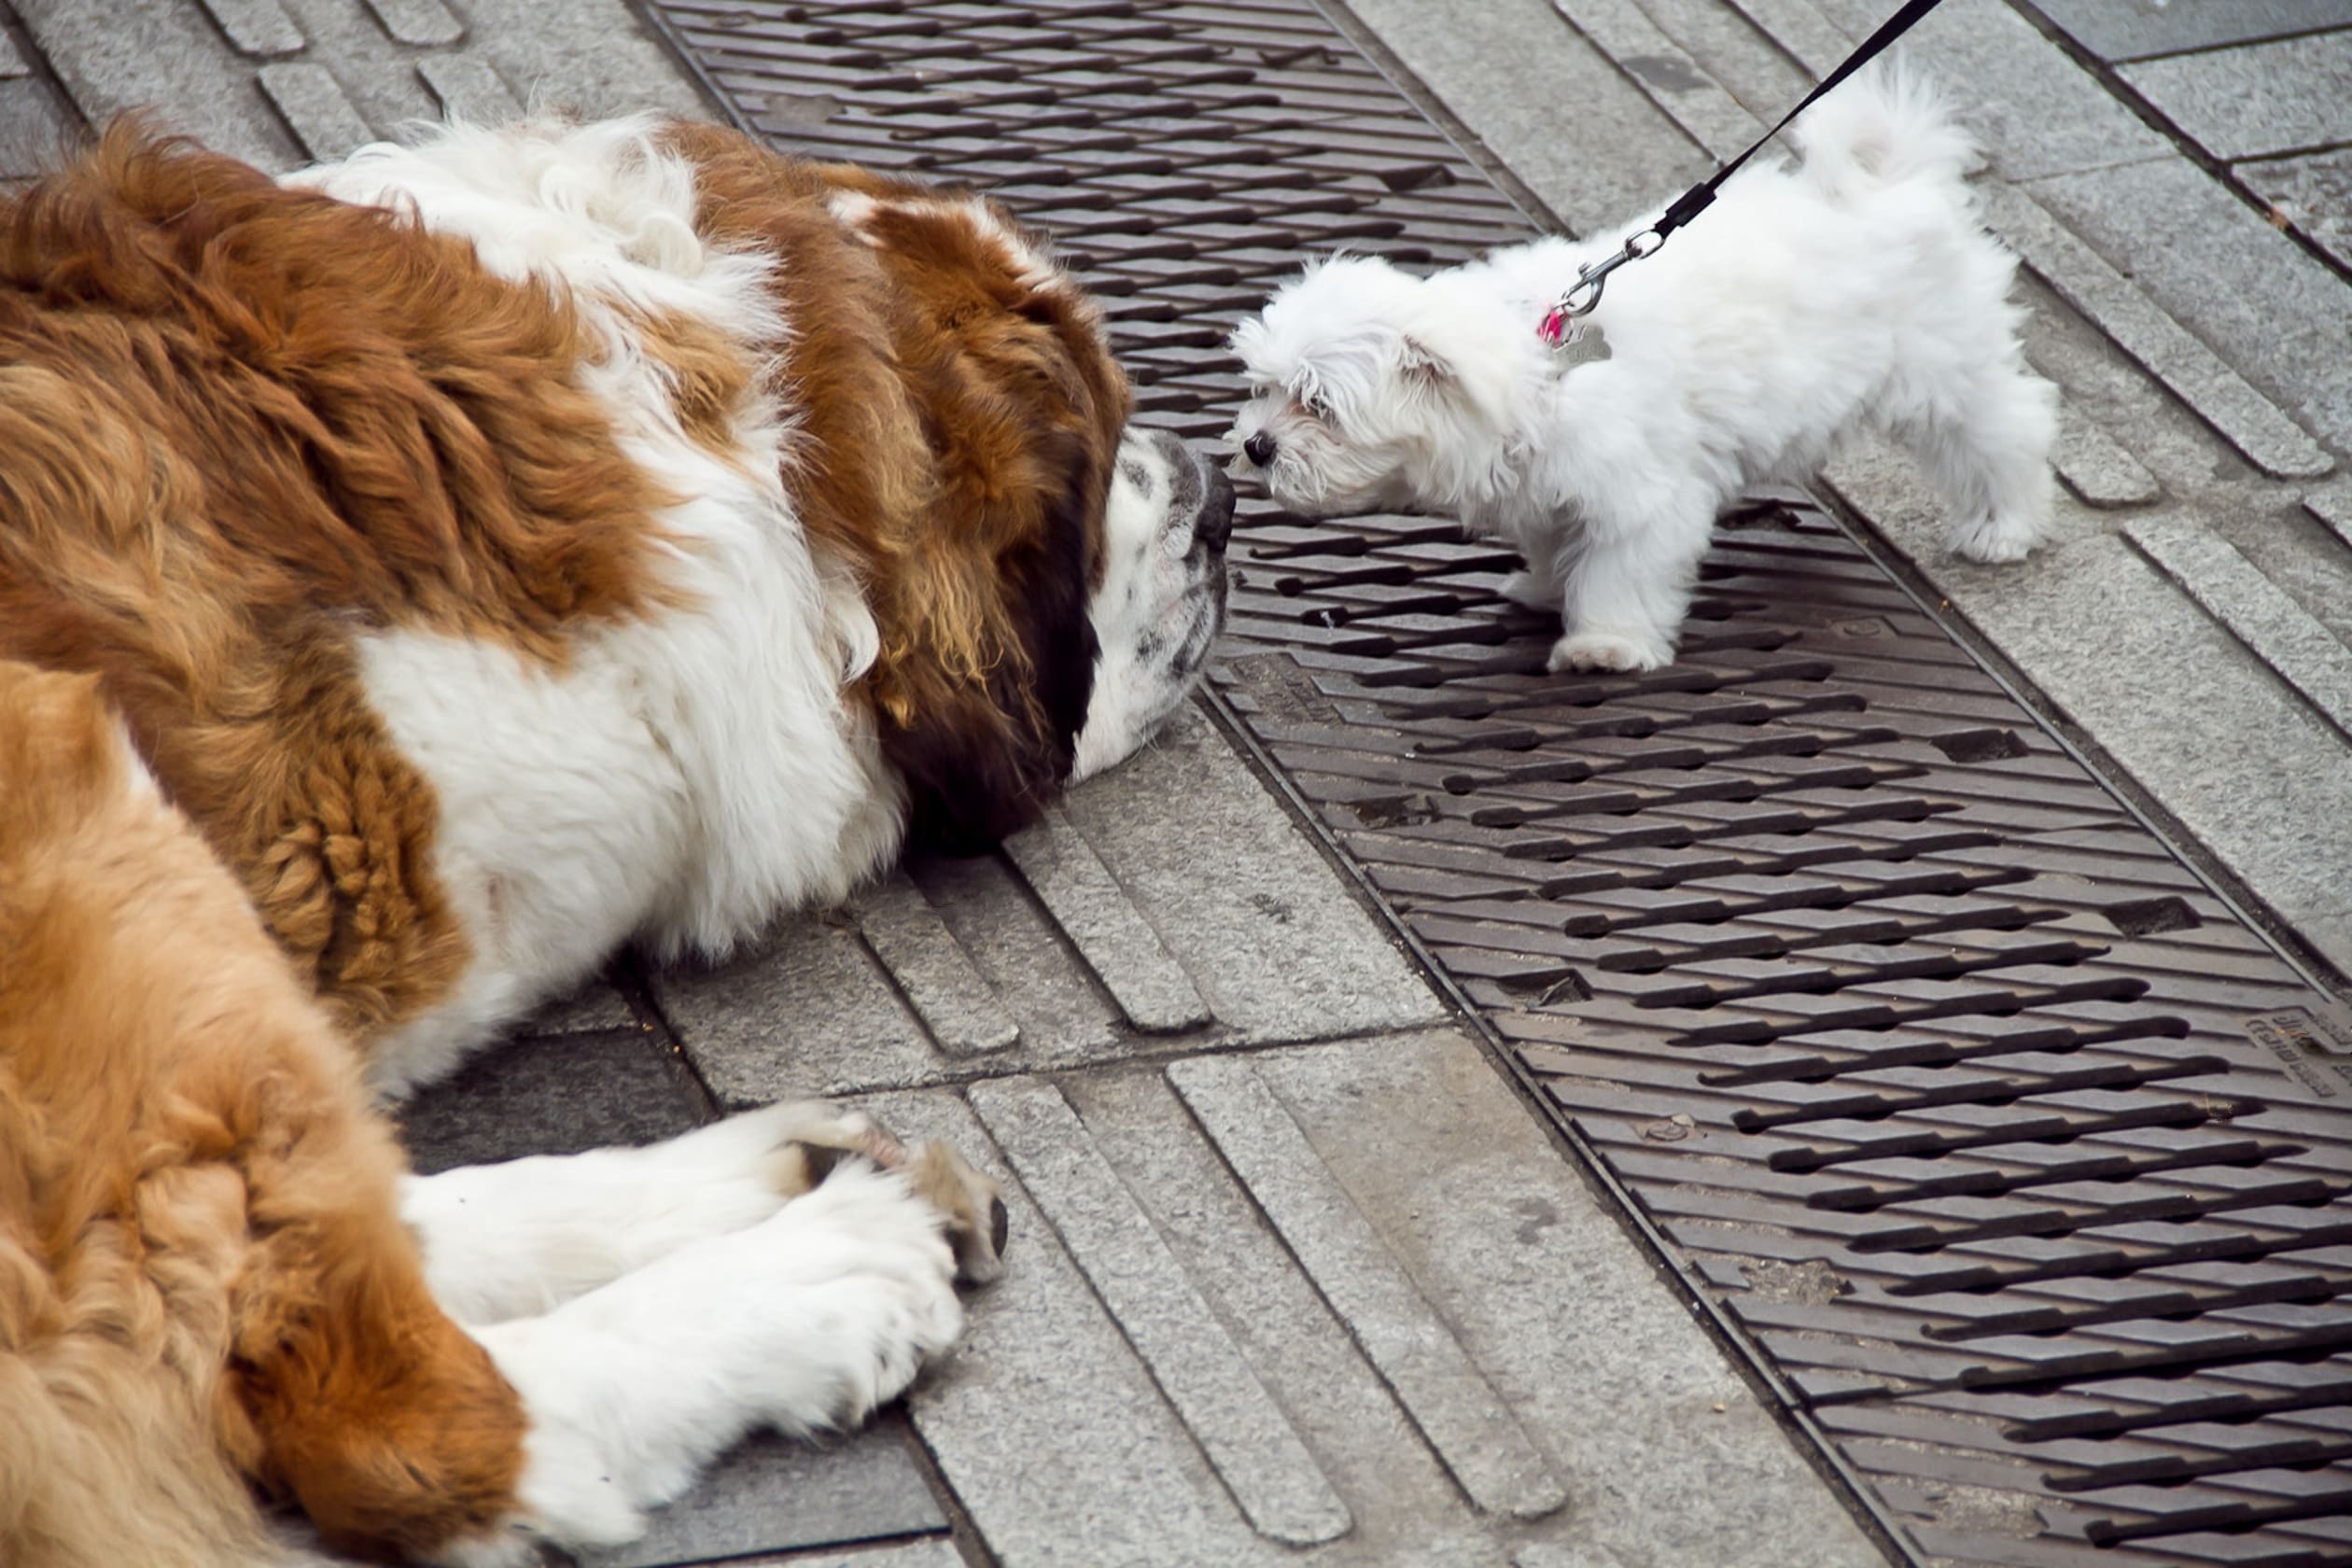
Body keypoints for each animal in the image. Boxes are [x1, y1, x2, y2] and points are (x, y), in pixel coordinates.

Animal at [4, 113, 1232, 1568]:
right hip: (82, 800)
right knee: (400, 1418)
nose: (1223, 501)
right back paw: (821, 1275)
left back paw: (778, 1169)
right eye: (1099, 459)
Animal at [1232, 65, 2060, 677]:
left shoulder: (1641, 499)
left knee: (2006, 430)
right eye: (1261, 391)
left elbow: (1619, 572)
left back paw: (2003, 526)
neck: (1543, 368)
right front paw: (1543, 588)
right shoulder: (1548, 491)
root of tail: (1896, 183)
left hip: (1942, 366)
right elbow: (1555, 544)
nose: (1255, 446)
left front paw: (1604, 644)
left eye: (1320, 408)